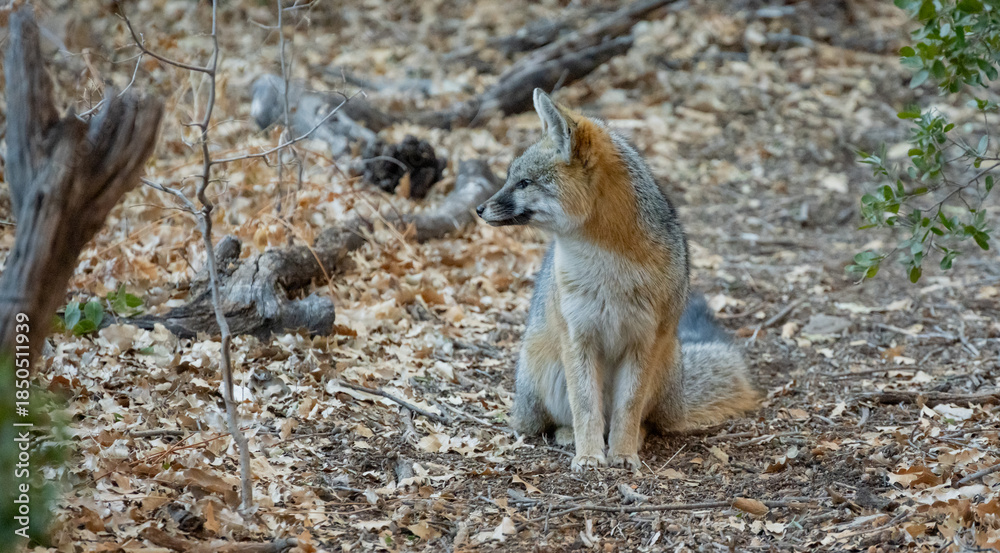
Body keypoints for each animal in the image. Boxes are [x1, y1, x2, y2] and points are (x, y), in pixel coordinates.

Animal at [476, 89, 759, 472]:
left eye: (524, 182)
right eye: (511, 178)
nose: (479, 209)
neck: (607, 268)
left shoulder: (643, 341)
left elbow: (628, 408)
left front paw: (622, 454)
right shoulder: (578, 337)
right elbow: (585, 407)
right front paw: (589, 455)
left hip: (661, 361)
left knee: (641, 419)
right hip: (545, 372)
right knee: (559, 420)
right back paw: (569, 436)